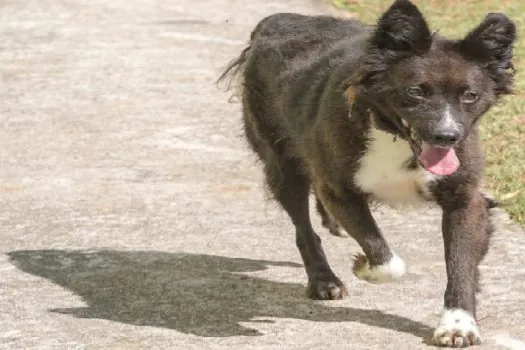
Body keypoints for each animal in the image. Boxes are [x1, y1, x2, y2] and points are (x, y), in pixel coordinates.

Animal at [217, 0, 516, 344]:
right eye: (416, 91)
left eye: (470, 95)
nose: (448, 136)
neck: (394, 135)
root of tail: (276, 19)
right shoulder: (340, 191)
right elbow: (386, 258)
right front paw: (362, 266)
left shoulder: (464, 200)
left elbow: (460, 263)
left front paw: (458, 324)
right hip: (282, 165)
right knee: (303, 227)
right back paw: (324, 281)